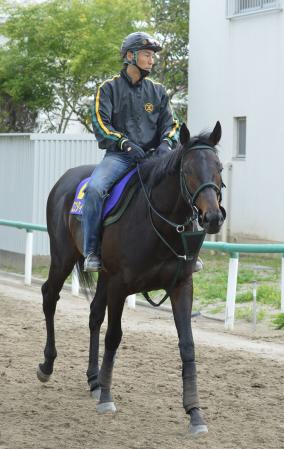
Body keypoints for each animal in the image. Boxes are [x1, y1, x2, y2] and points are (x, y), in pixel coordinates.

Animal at [36, 121, 225, 436]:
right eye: (187, 170)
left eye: (219, 167)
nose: (212, 217)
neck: (158, 222)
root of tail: (64, 180)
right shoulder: (120, 285)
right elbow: (114, 337)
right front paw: (107, 399)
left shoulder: (181, 286)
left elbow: (187, 344)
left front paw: (195, 413)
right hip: (62, 257)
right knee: (50, 297)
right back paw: (48, 366)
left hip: (101, 276)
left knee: (93, 315)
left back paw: (94, 379)